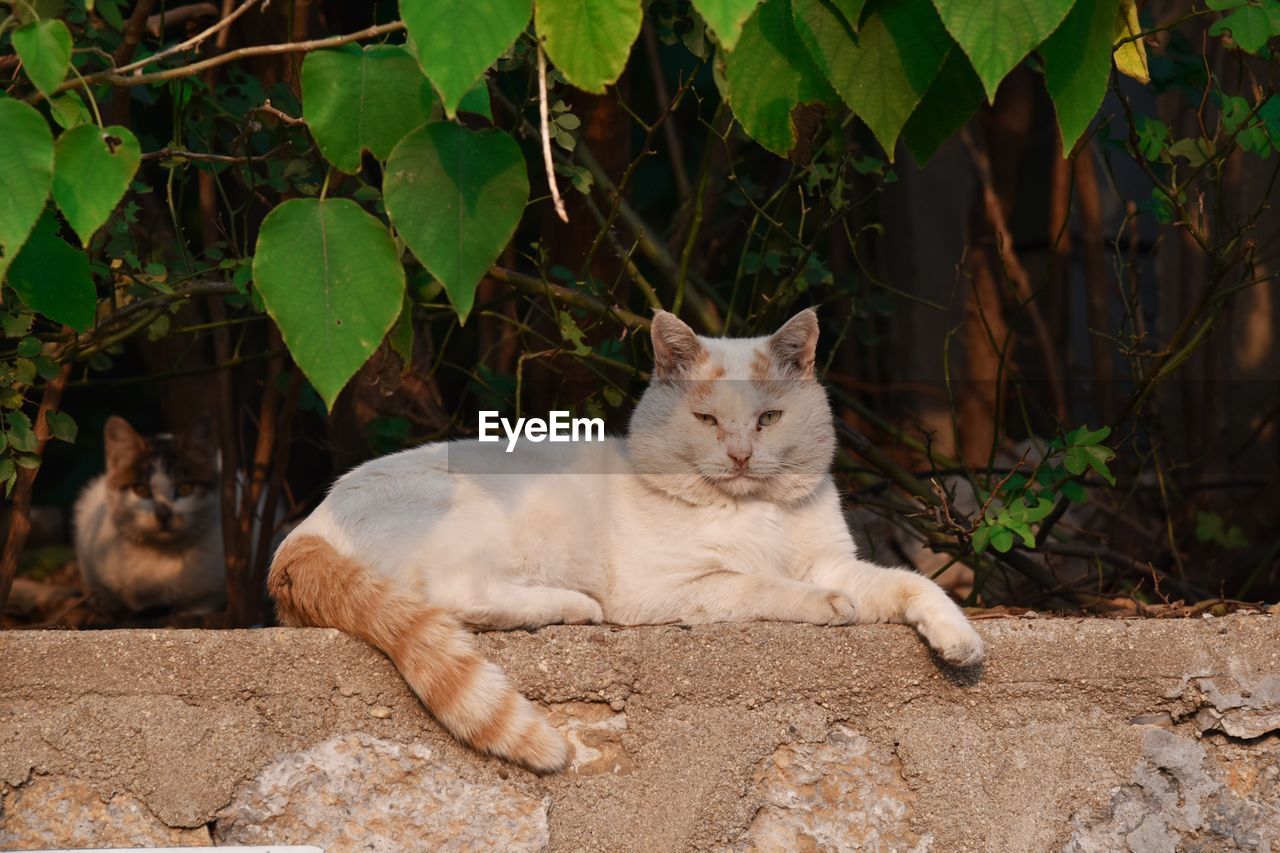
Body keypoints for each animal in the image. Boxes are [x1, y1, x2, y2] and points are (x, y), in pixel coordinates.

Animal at [270, 307, 983, 768]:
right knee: (452, 597)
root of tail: (302, 533)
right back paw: (573, 606)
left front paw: (960, 640)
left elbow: (909, 584)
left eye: (768, 419)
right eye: (707, 419)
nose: (741, 455)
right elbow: (756, 585)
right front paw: (826, 607)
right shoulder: (670, 590)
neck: (751, 512)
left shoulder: (837, 562)